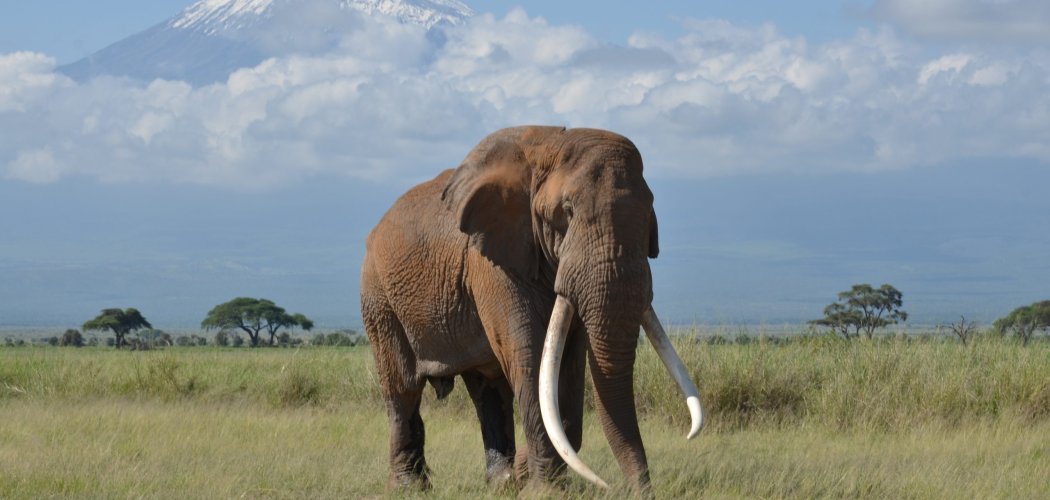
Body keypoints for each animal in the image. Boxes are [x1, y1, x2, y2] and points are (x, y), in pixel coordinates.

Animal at [359, 125, 703, 494]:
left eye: (649, 213)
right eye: (566, 211)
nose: (638, 492)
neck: (552, 144)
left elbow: (567, 364)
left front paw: (521, 479)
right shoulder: (490, 262)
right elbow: (530, 354)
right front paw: (544, 491)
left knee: (487, 390)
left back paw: (499, 483)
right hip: (378, 296)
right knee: (402, 387)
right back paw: (410, 488)